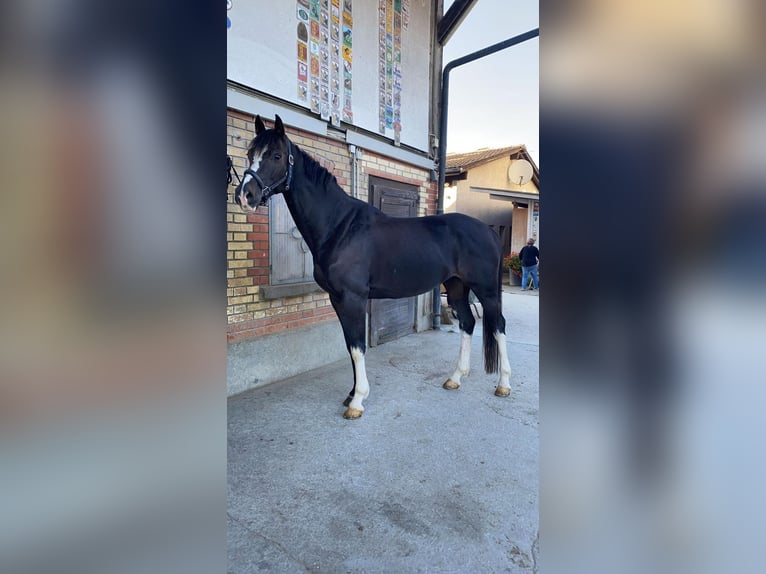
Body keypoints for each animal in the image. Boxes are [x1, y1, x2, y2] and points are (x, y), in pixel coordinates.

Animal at [237, 113, 512, 418]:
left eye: (276, 155)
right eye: (250, 153)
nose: (245, 195)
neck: (340, 226)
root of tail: (488, 230)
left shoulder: (354, 298)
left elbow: (358, 348)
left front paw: (357, 401)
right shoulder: (337, 299)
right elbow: (350, 345)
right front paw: (351, 394)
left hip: (485, 290)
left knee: (498, 326)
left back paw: (503, 385)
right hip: (456, 287)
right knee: (467, 323)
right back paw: (455, 378)